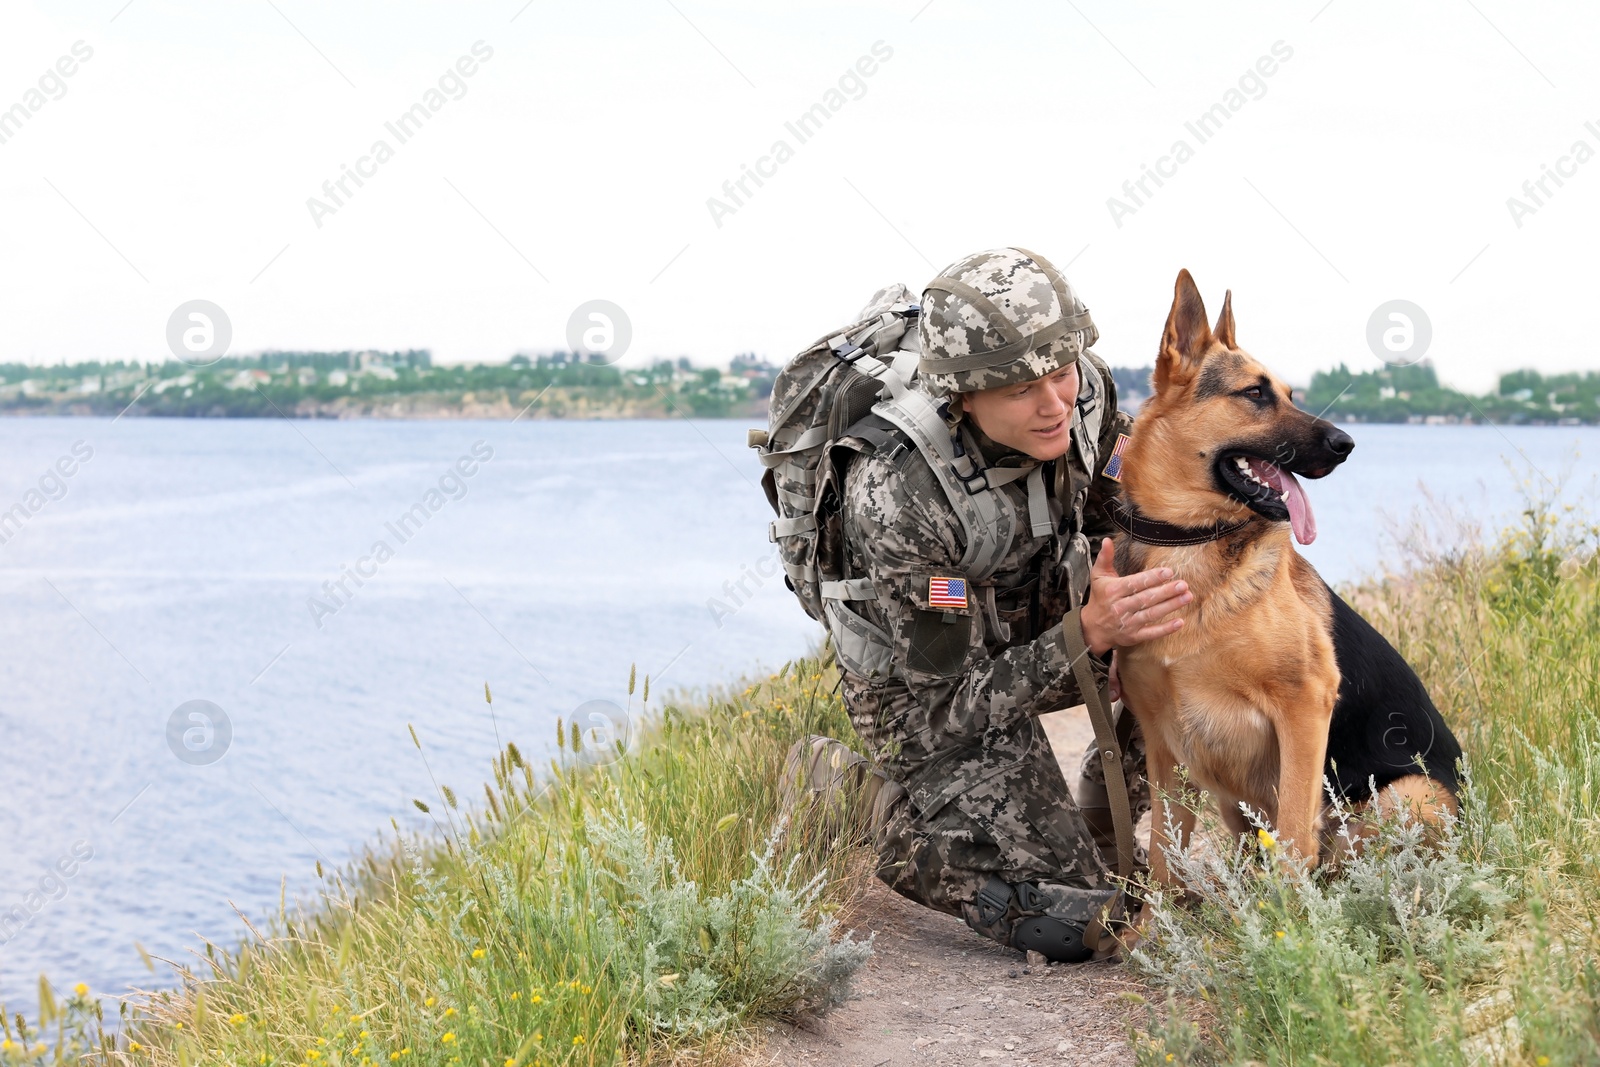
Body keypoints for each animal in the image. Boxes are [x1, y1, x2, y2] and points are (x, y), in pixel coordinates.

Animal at [1113, 268, 1465, 902]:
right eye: (1255, 394)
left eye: (1291, 395)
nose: (1347, 444)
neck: (1189, 540)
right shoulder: (1162, 743)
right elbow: (1163, 862)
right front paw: (1153, 925)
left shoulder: (1305, 706)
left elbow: (1297, 840)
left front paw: (1292, 917)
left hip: (1408, 796)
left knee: (1347, 865)